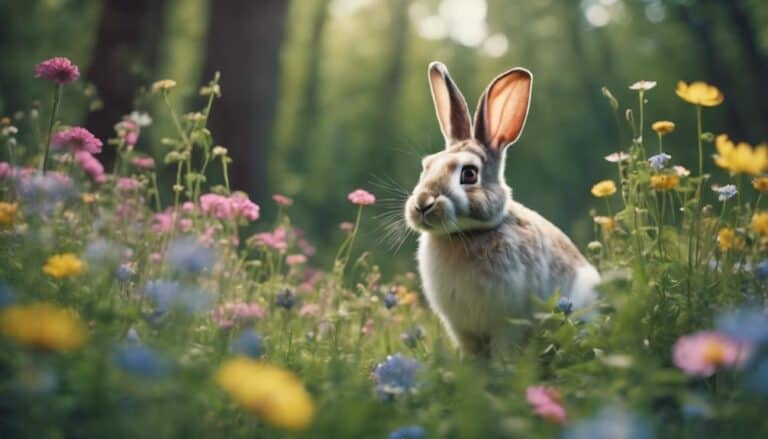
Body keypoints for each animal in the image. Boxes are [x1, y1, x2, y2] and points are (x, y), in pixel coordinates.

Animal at [404, 62, 600, 359]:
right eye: (426, 166)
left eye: (469, 174)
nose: (422, 204)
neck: (466, 234)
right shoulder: (463, 331)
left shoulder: (508, 325)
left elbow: (503, 354)